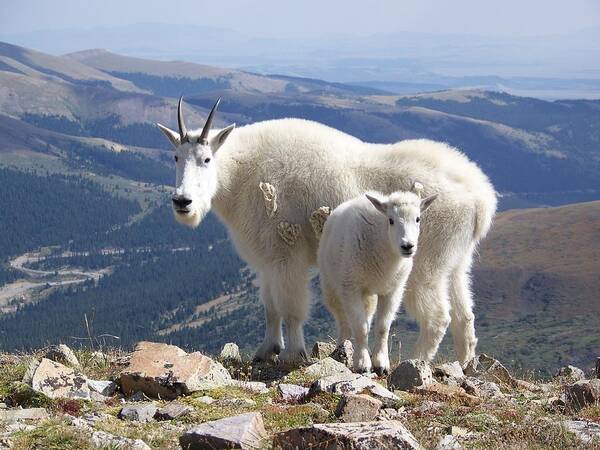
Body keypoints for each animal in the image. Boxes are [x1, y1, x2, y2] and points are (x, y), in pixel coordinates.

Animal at [318, 192, 436, 374]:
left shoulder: (393, 291)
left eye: (418, 219)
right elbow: (360, 327)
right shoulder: (351, 287)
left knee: (366, 315)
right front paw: (362, 364)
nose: (407, 246)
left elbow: (382, 327)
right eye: (391, 220)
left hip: (369, 294)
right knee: (343, 321)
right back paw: (342, 348)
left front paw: (381, 364)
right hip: (331, 286)